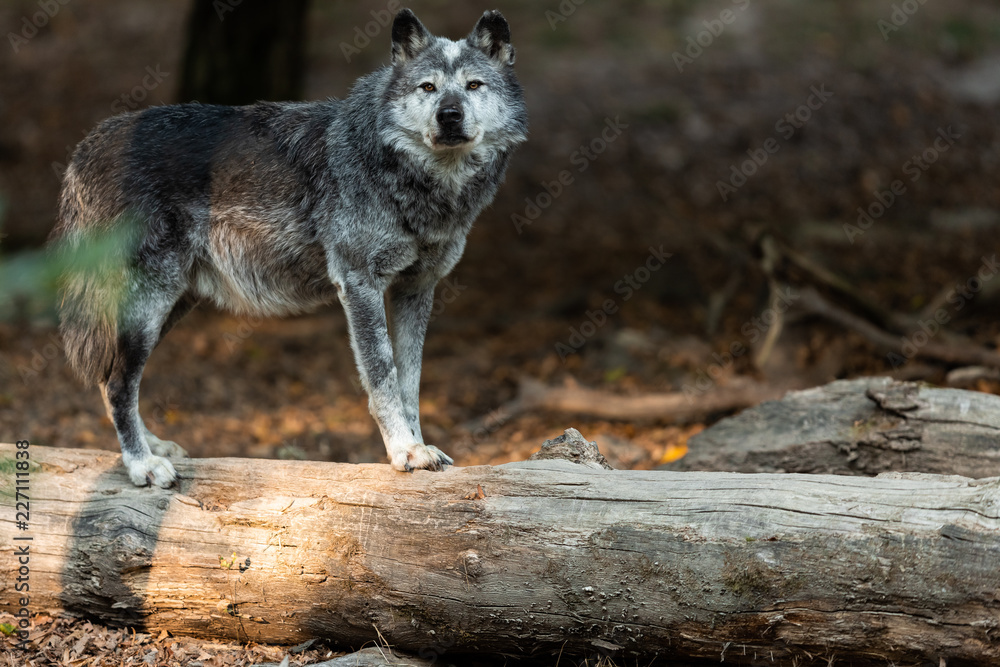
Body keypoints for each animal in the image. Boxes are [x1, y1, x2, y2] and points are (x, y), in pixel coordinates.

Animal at [50, 9, 527, 487]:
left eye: (473, 86)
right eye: (427, 87)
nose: (449, 116)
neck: (413, 182)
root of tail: (91, 143)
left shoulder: (417, 289)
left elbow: (409, 382)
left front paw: (419, 445)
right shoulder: (359, 284)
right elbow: (382, 378)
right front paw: (405, 451)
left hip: (169, 306)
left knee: (110, 377)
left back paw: (153, 447)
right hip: (149, 303)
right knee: (118, 382)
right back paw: (142, 464)